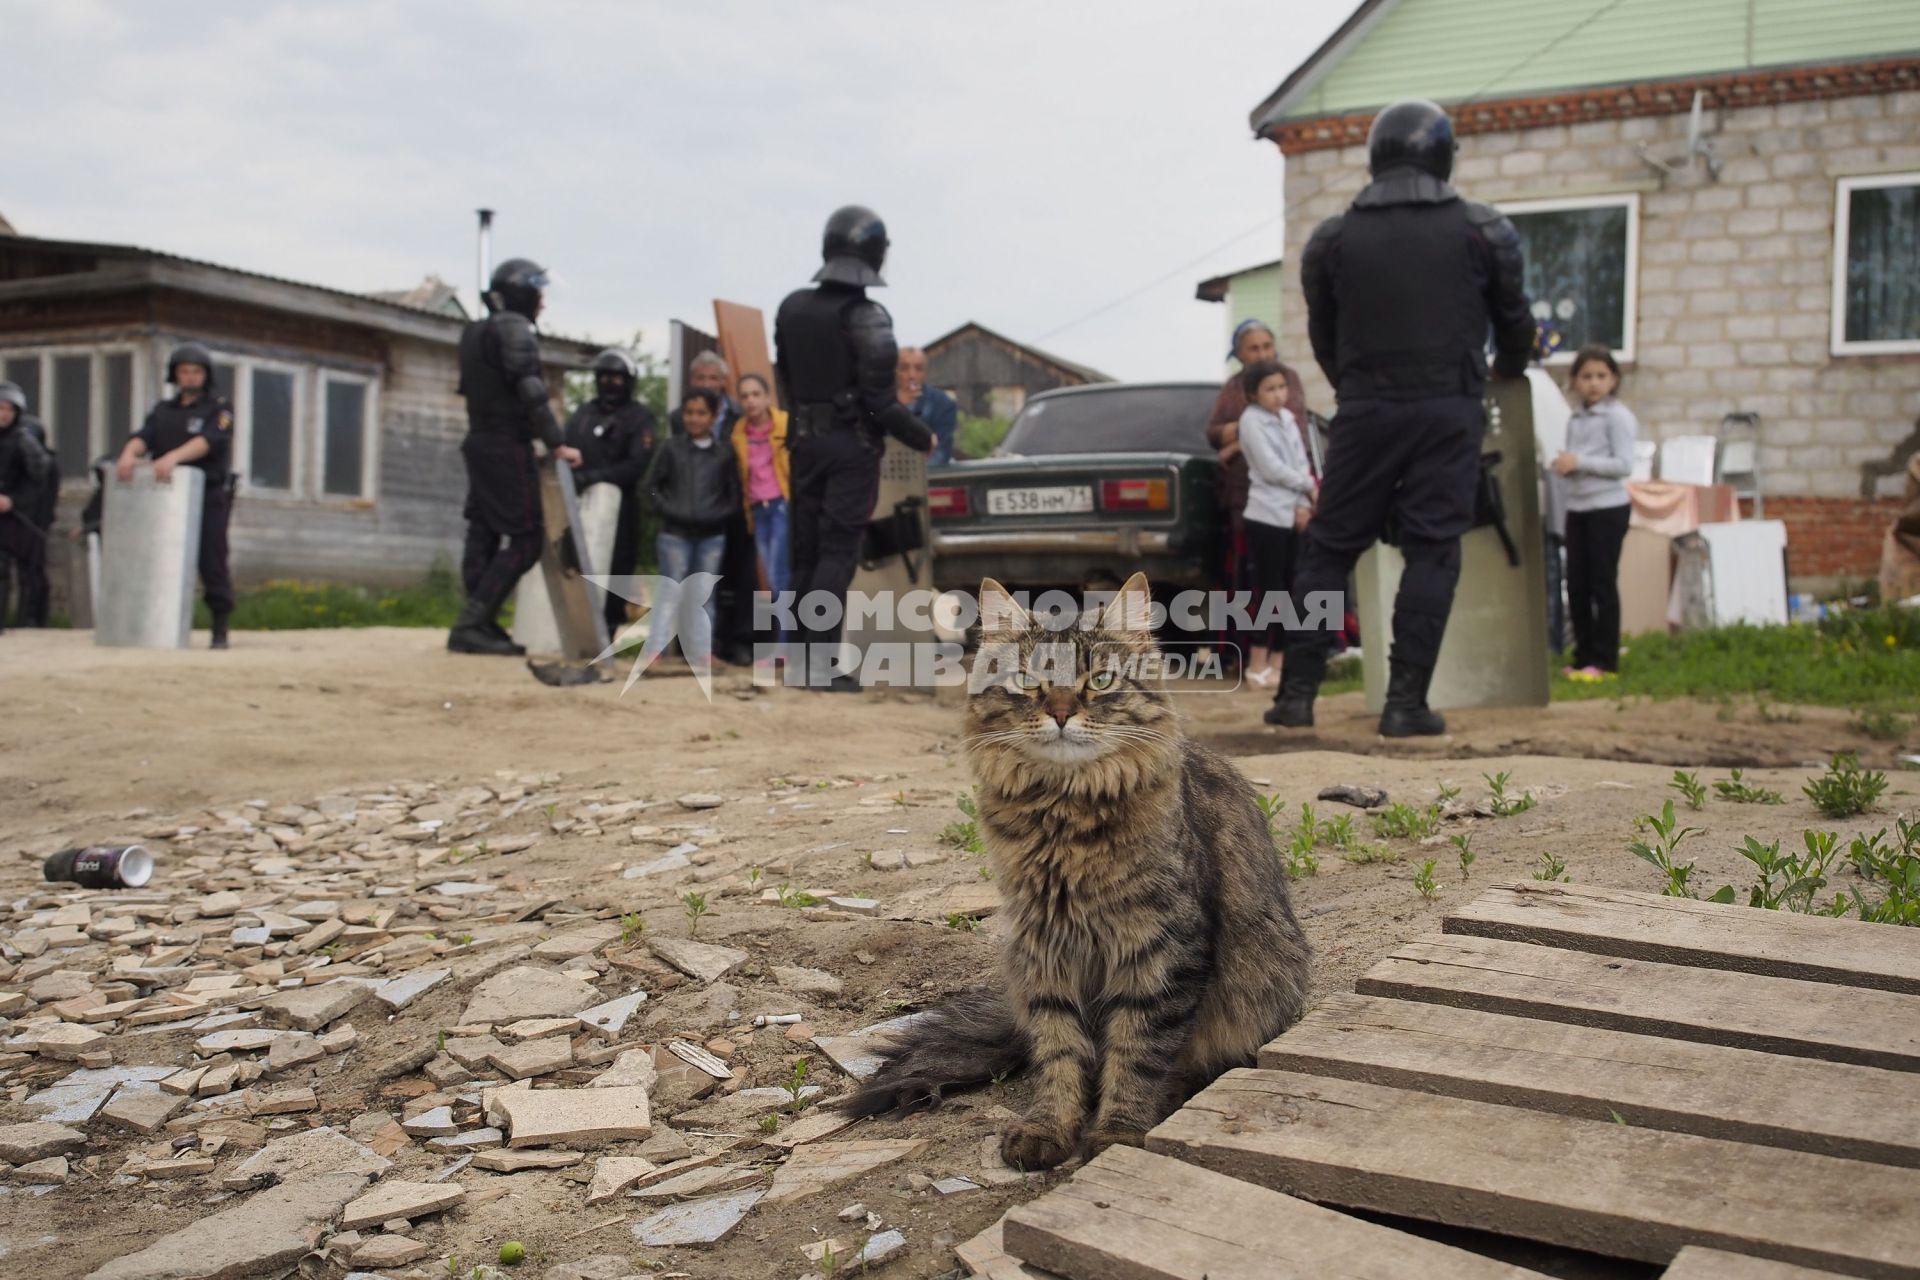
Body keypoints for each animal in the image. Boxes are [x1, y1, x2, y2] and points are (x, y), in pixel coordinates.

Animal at [844, 575, 1313, 1166]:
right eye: (1029, 682)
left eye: (1101, 679)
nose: (1062, 713)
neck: (1065, 815)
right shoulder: (1046, 947)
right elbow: (1060, 1049)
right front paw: (1050, 1127)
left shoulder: (1159, 950)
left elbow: (1137, 1051)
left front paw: (1117, 1132)